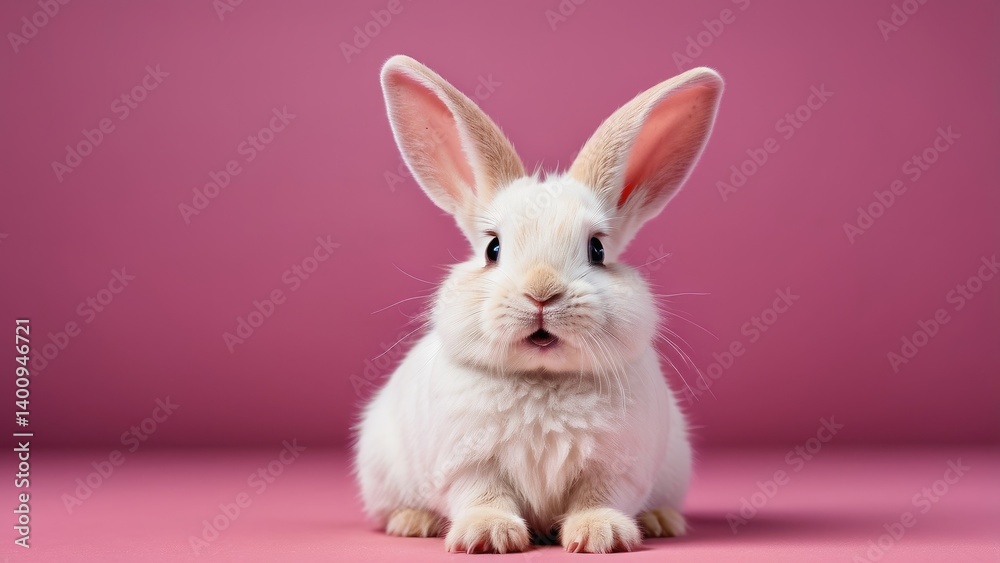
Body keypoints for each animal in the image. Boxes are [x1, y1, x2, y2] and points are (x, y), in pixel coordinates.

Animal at [354, 55, 723, 554]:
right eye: (492, 248)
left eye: (597, 249)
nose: (542, 291)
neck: (544, 380)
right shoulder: (466, 465)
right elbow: (483, 494)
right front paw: (488, 535)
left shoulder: (615, 468)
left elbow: (598, 497)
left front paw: (602, 535)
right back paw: (413, 522)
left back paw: (662, 520)